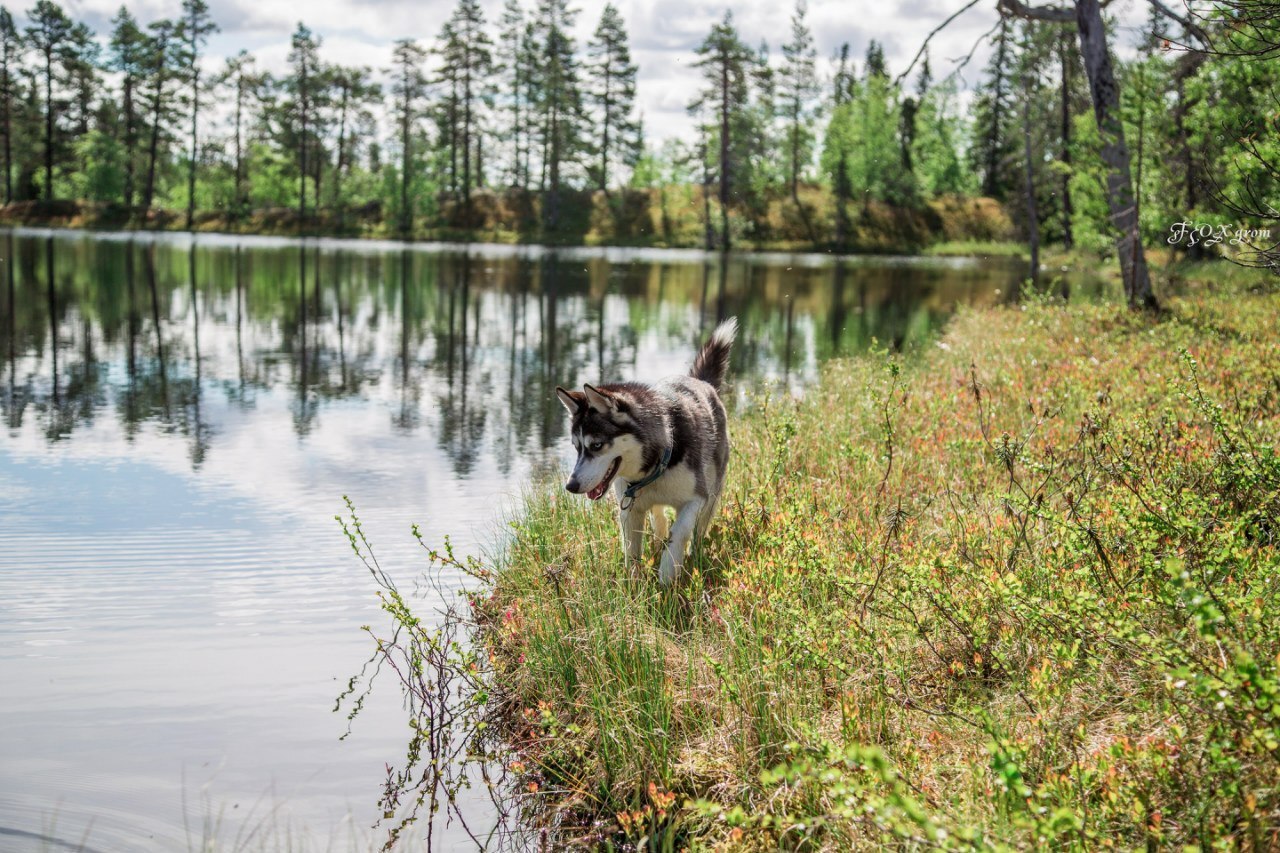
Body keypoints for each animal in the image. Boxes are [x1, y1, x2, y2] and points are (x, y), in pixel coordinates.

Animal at [552, 318, 742, 584]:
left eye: (596, 445)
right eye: (576, 447)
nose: (571, 486)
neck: (656, 466)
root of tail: (700, 382)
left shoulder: (697, 497)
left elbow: (680, 530)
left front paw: (668, 571)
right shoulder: (629, 509)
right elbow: (632, 550)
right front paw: (633, 584)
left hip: (714, 492)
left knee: (699, 528)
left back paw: (694, 552)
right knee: (658, 516)